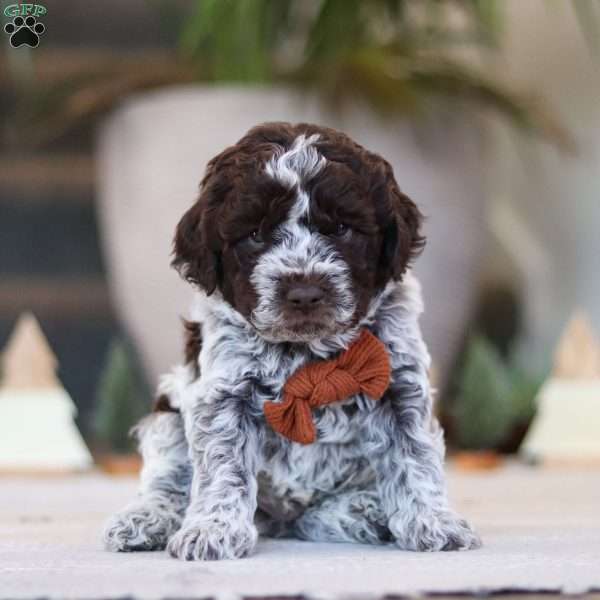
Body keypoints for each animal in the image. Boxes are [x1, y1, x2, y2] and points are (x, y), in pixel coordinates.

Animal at [102, 122, 478, 564]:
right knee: (167, 480)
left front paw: (433, 522)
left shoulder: (399, 386)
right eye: (254, 235)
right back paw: (146, 519)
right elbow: (223, 468)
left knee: (315, 516)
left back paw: (364, 512)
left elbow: (414, 458)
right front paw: (213, 529)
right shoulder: (223, 396)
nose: (304, 293)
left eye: (341, 229)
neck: (307, 350)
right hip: (168, 417)